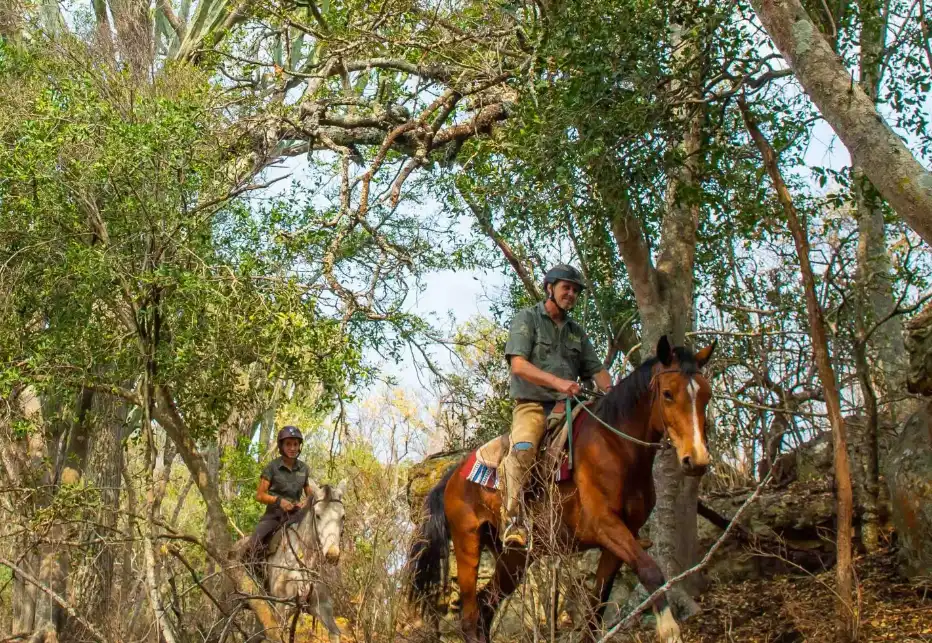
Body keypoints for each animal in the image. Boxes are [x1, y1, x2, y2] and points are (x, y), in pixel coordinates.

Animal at [266, 479, 346, 643]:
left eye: (343, 517)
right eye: (318, 515)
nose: (332, 555)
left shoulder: (323, 609)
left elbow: (334, 633)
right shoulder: (281, 612)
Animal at [408, 336, 715, 643]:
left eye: (706, 396)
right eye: (668, 394)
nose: (697, 459)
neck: (616, 447)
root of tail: (452, 476)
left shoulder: (624, 535)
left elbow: (597, 606)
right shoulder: (605, 525)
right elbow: (651, 571)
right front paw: (669, 630)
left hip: (515, 557)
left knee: (487, 605)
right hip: (467, 543)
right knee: (471, 617)